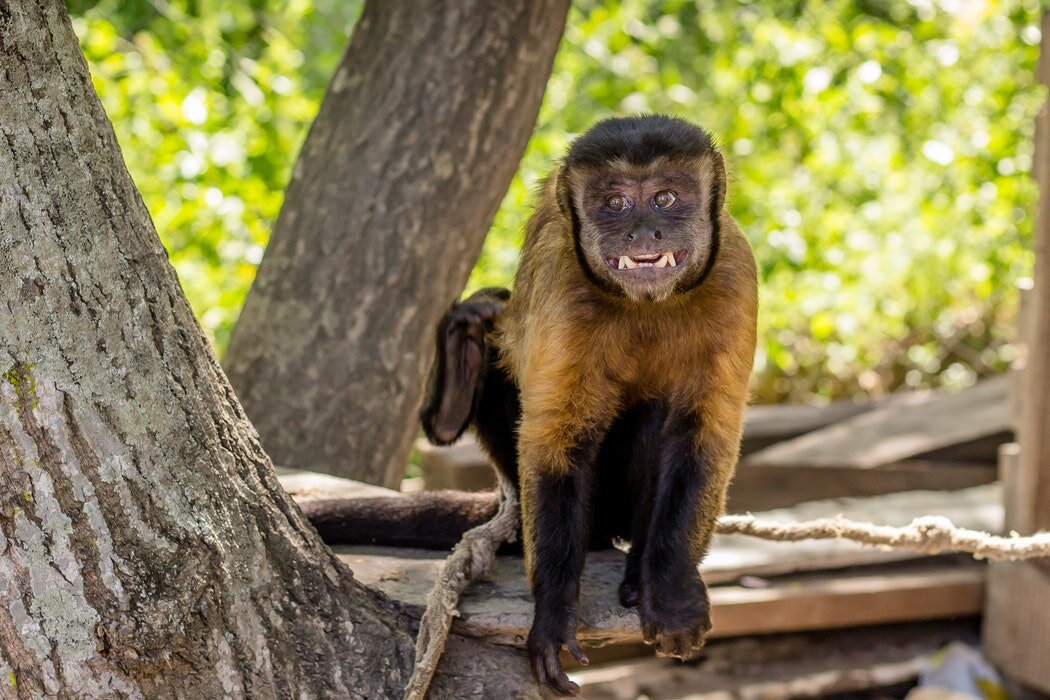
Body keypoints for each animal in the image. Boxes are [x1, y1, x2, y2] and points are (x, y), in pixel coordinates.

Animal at [304, 114, 755, 696]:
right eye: (615, 203)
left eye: (666, 198)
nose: (641, 232)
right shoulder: (562, 283)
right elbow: (553, 444)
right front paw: (555, 615)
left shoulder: (735, 275)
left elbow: (707, 436)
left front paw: (672, 591)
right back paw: (460, 372)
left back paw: (641, 570)